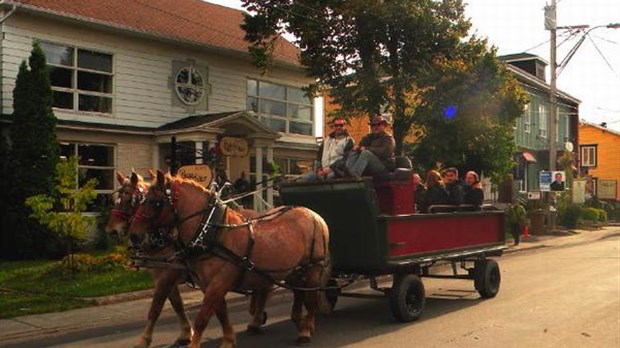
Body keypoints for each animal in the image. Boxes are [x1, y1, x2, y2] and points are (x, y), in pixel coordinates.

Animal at [105, 171, 270, 348]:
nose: (112, 231)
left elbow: (156, 307)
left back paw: (256, 319)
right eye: (117, 199)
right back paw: (256, 316)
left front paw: (144, 339)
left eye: (131, 200)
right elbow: (177, 304)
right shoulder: (165, 274)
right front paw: (185, 333)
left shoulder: (168, 275)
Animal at [128, 171, 332, 348]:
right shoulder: (208, 284)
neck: (213, 232)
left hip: (314, 267)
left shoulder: (217, 281)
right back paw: (296, 321)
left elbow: (201, 318)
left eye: (156, 202)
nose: (134, 234)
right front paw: (228, 340)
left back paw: (305, 329)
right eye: (140, 200)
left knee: (311, 298)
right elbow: (220, 313)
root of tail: (314, 215)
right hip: (295, 270)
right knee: (298, 292)